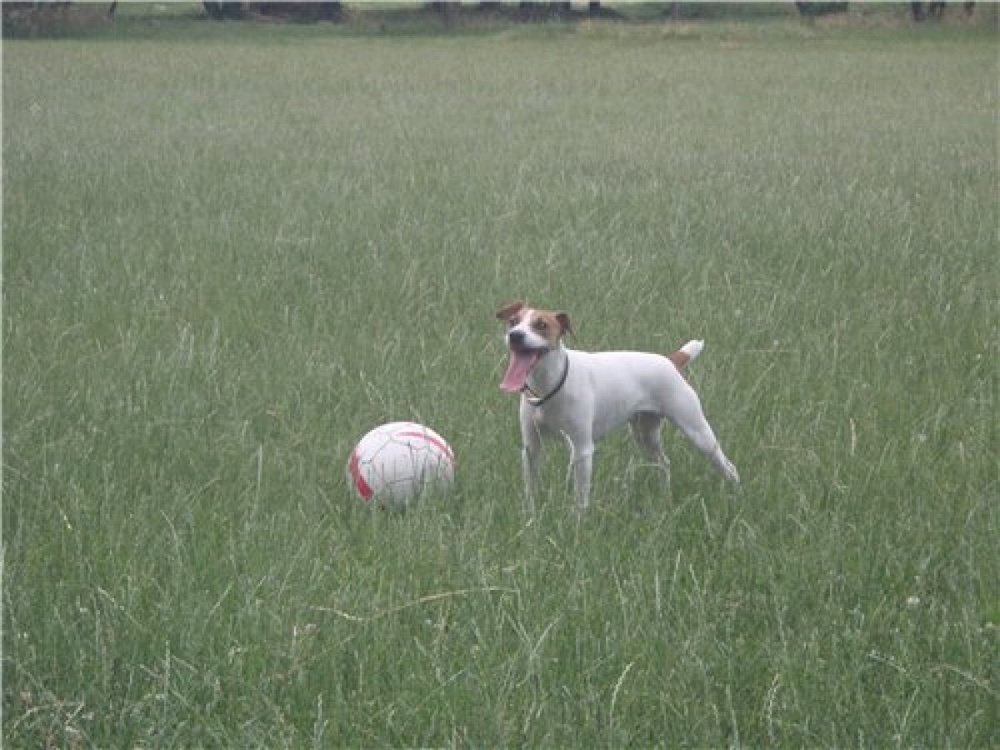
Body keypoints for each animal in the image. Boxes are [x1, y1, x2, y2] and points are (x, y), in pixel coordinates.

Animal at [496, 300, 740, 512]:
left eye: (542, 325)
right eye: (513, 321)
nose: (515, 335)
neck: (549, 385)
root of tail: (671, 361)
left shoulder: (582, 449)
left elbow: (581, 499)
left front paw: (577, 524)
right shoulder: (531, 448)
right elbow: (530, 490)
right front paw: (530, 516)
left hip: (697, 431)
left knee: (728, 466)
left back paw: (736, 495)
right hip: (645, 435)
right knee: (664, 463)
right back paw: (665, 496)